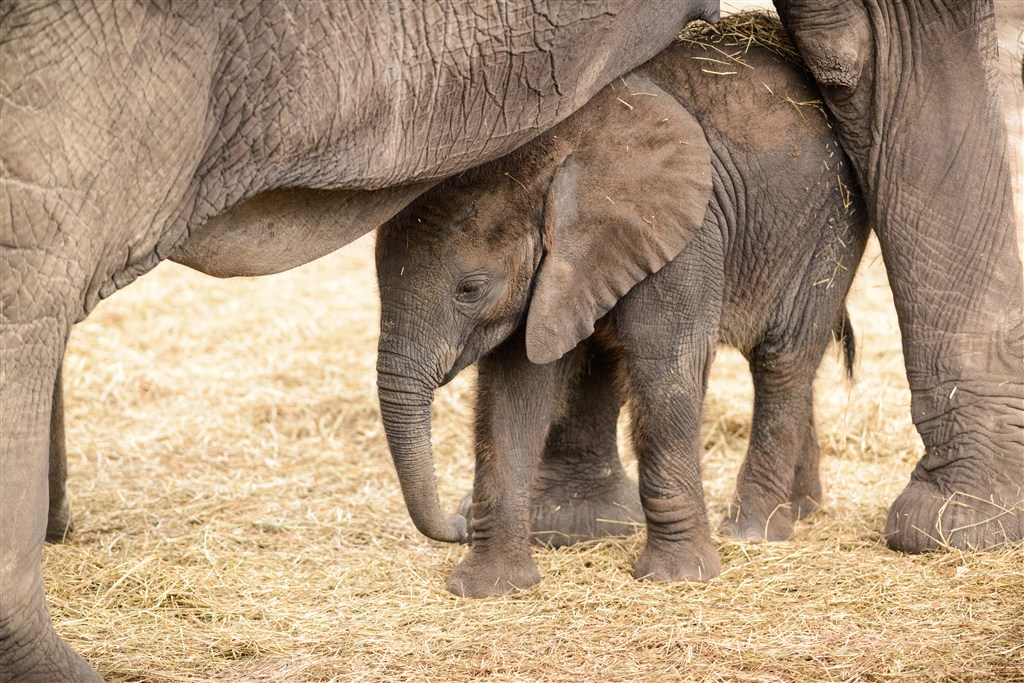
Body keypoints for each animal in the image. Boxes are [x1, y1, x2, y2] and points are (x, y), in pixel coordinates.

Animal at [372, 22, 868, 598]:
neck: (558, 156)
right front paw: (489, 588)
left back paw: (754, 531)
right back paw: (804, 511)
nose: (458, 521)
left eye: (469, 290)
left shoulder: (684, 233)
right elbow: (514, 390)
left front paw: (678, 578)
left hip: (828, 230)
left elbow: (664, 369)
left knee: (782, 359)